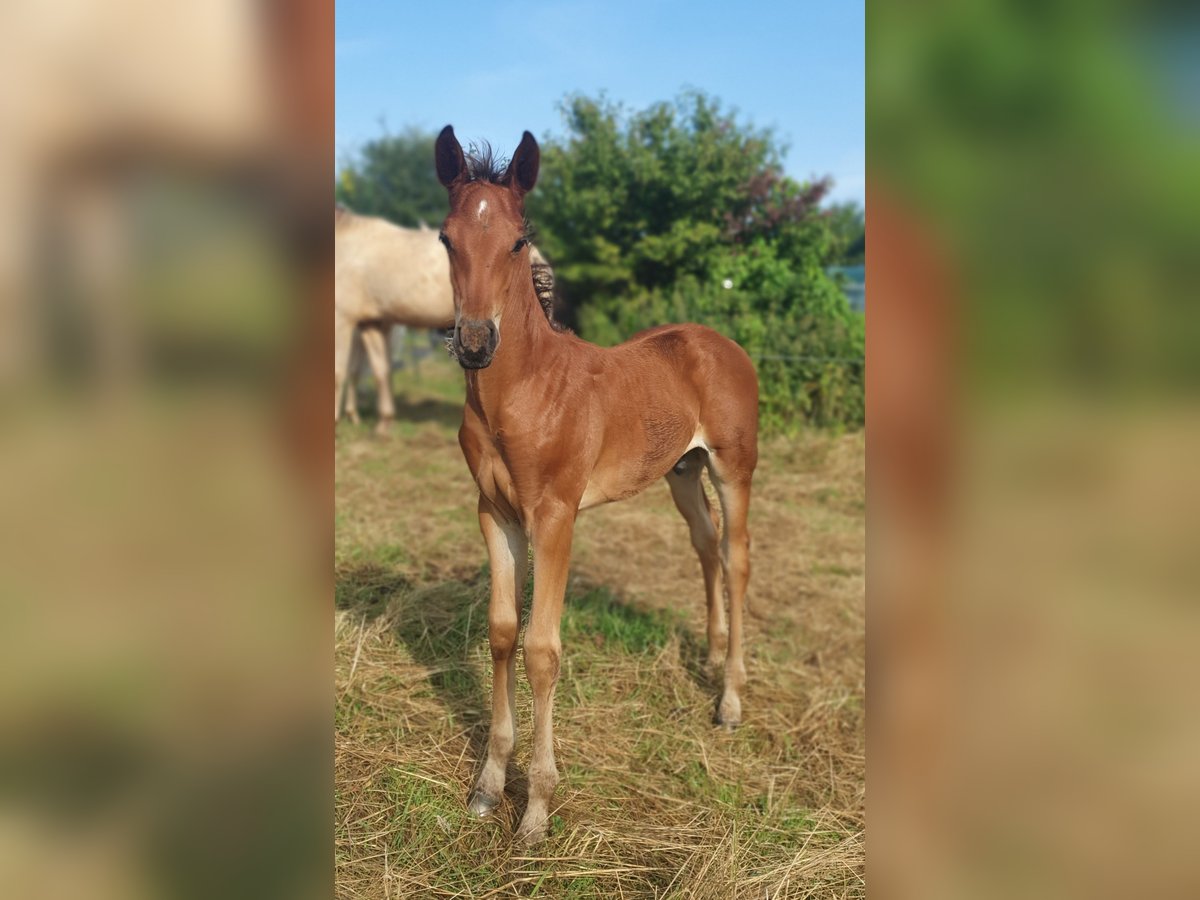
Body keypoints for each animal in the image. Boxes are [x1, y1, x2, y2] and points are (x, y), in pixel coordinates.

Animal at [436, 123, 758, 844]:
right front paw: (488, 785)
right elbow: (503, 631)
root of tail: (720, 341)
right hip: (681, 471)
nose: (474, 342)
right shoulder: (493, 513)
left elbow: (542, 649)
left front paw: (536, 808)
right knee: (704, 545)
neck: (524, 391)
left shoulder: (556, 516)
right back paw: (709, 654)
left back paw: (729, 700)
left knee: (735, 557)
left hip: (733, 466)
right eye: (445, 238)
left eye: (518, 242)